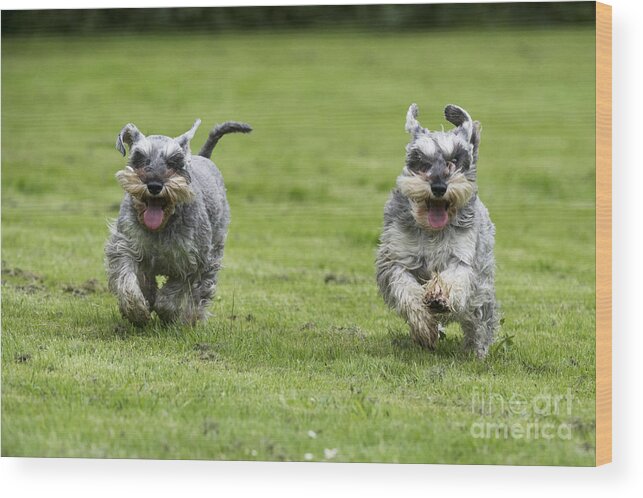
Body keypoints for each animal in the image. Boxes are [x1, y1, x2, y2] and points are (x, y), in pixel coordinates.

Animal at [105, 117, 252, 326]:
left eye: (174, 161)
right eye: (140, 157)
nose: (154, 185)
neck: (161, 226)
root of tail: (203, 157)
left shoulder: (192, 261)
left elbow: (172, 294)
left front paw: (168, 314)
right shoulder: (126, 248)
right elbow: (128, 282)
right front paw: (137, 312)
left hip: (213, 253)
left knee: (202, 291)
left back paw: (192, 319)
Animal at [374, 103, 500, 356]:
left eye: (455, 158)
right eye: (421, 159)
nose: (439, 187)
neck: (430, 229)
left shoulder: (462, 258)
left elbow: (454, 277)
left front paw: (439, 296)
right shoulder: (397, 260)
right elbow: (406, 289)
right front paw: (424, 327)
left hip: (482, 285)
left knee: (480, 319)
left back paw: (477, 350)